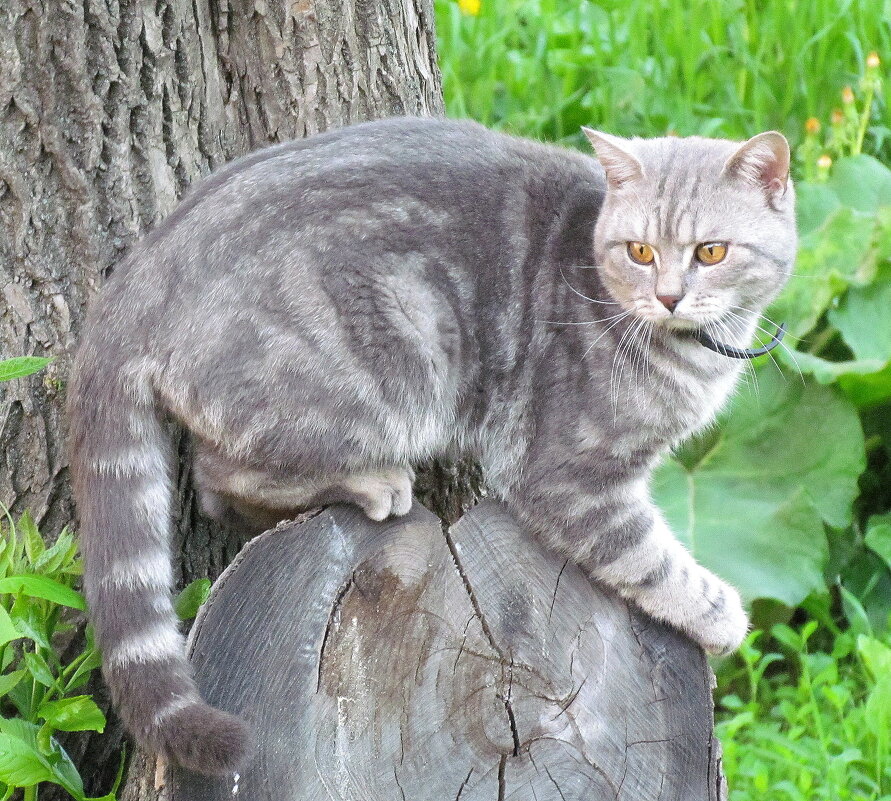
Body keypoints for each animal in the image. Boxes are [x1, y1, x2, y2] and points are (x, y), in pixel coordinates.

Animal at [68, 114, 796, 776]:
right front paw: (718, 615)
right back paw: (374, 482)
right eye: (639, 251)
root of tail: (138, 275)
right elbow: (649, 556)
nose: (669, 297)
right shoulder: (568, 473)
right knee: (223, 476)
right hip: (379, 375)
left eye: (711, 252)